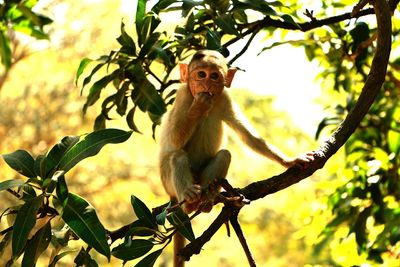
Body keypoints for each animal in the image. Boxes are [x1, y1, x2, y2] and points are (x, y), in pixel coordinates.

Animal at [158, 50, 314, 267]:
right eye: (201, 75)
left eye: (214, 76)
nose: (207, 85)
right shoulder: (183, 95)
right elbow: (174, 139)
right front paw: (199, 106)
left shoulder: (224, 98)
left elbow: (248, 136)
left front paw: (289, 160)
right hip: (167, 183)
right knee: (177, 156)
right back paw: (189, 199)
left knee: (224, 154)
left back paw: (205, 201)